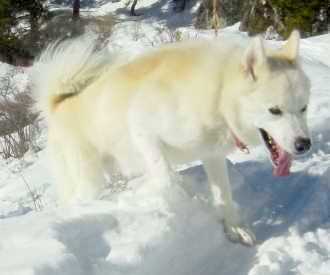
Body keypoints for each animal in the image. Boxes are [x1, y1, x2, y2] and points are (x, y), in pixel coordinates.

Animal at [33, 30, 312, 246]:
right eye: (274, 110)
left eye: (303, 108)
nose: (304, 145)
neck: (218, 96)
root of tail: (58, 104)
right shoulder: (144, 131)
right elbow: (167, 175)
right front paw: (179, 195)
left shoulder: (212, 156)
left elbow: (224, 196)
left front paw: (234, 228)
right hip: (89, 178)